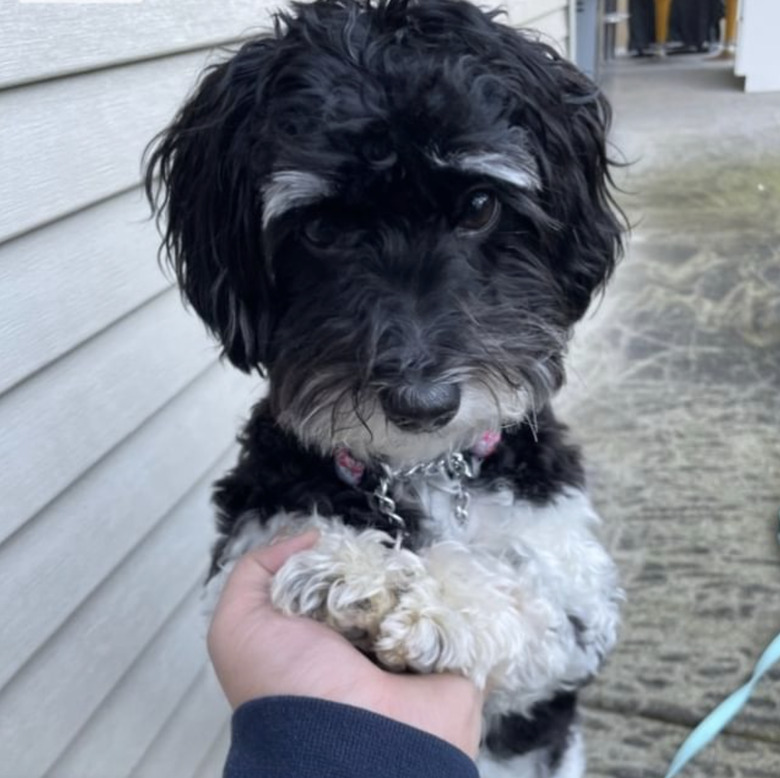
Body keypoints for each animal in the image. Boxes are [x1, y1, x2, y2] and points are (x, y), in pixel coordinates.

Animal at [145, 3, 620, 772]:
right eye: (320, 227)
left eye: (480, 205)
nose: (421, 402)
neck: (420, 471)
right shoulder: (242, 553)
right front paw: (356, 572)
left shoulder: (580, 596)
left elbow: (529, 604)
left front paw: (436, 603)